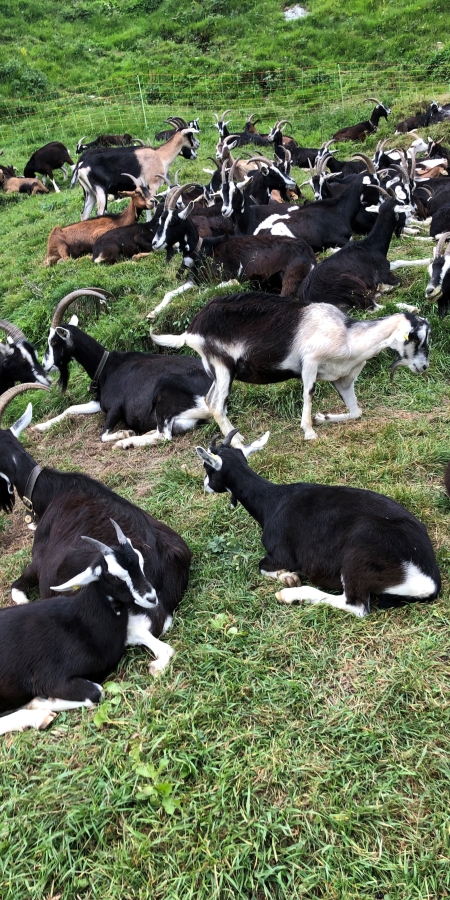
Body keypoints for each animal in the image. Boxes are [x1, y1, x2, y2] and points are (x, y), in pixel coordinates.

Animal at [0, 516, 158, 736]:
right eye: (114, 576)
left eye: (140, 561)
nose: (151, 598)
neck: (82, 622)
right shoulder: (49, 678)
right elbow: (95, 693)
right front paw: (38, 702)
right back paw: (38, 717)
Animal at [33, 290, 213, 448]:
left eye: (54, 342)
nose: (45, 365)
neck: (106, 366)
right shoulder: (99, 403)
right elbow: (70, 409)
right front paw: (40, 426)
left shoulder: (116, 407)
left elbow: (103, 435)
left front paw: (124, 433)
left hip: (165, 391)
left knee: (164, 435)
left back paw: (125, 442)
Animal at [194, 430, 440, 616]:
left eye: (207, 468)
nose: (205, 486)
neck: (272, 501)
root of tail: (428, 580)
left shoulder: (280, 553)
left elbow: (262, 565)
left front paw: (288, 578)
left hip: (358, 555)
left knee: (355, 605)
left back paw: (291, 595)